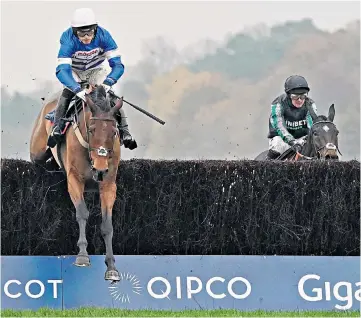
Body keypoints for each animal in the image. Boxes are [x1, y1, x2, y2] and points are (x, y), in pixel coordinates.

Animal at [29, 84, 122, 280]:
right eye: (92, 129)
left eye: (114, 132)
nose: (100, 169)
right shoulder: (74, 180)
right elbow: (82, 213)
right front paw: (83, 256)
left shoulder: (109, 185)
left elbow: (107, 225)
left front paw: (111, 267)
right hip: (37, 151)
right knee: (40, 159)